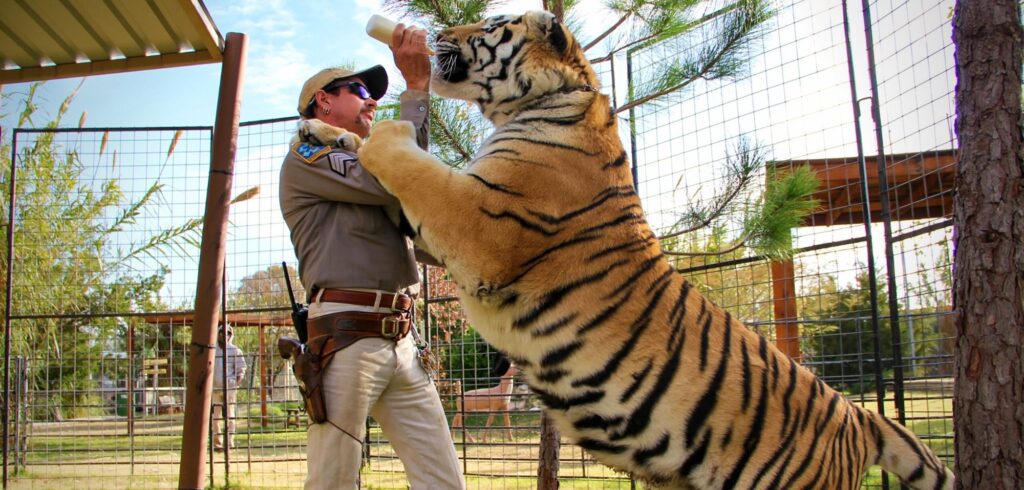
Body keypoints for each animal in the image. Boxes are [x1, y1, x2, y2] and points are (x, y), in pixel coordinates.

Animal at [348, 8, 954, 490]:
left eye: (491, 26)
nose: (437, 34)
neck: (548, 100)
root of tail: (859, 416)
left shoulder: (480, 221)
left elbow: (412, 166)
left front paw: (378, 130)